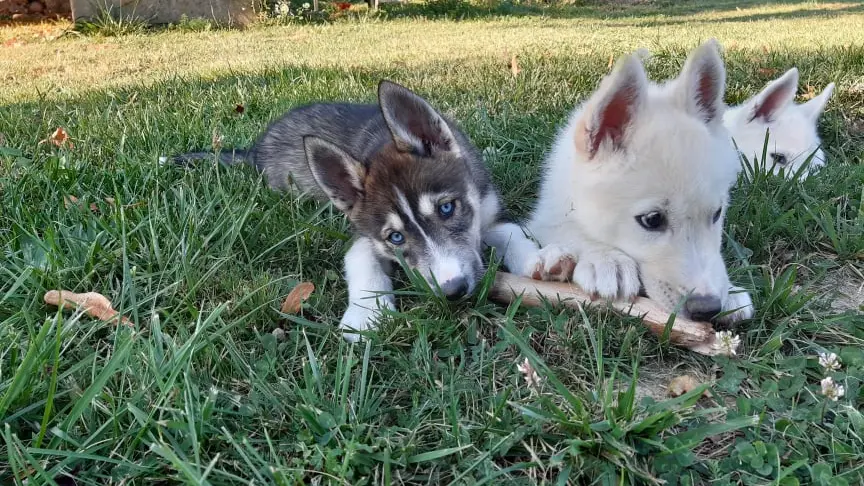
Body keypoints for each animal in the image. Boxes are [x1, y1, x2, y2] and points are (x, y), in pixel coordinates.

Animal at [172, 80, 528, 342]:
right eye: (395, 237)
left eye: (446, 208)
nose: (453, 290)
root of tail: (255, 149)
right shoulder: (364, 235)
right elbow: (361, 261)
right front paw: (366, 315)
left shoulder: (487, 209)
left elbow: (512, 230)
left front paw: (535, 261)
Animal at [486, 39, 756, 324]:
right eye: (652, 220)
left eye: (717, 213)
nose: (707, 309)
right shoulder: (545, 219)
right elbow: (568, 231)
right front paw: (606, 261)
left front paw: (732, 292)